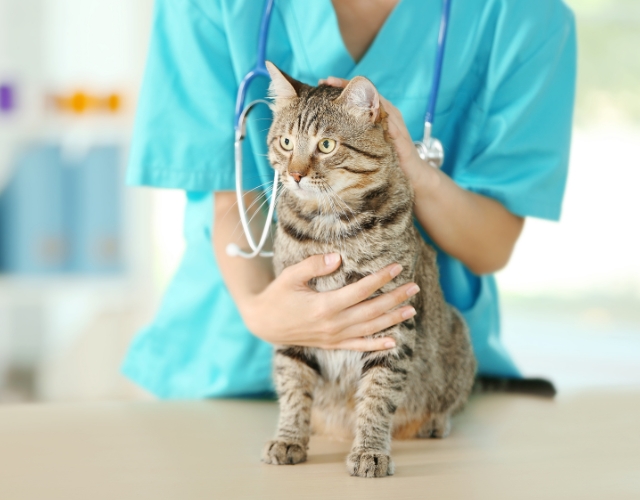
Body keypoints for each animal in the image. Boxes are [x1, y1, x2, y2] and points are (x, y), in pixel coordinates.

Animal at [260, 62, 476, 476]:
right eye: (286, 143)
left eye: (326, 145)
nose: (294, 174)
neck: (331, 228)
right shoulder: (294, 312)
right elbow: (293, 385)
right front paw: (289, 438)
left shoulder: (392, 320)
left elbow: (377, 394)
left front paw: (370, 450)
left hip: (457, 336)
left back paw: (434, 421)